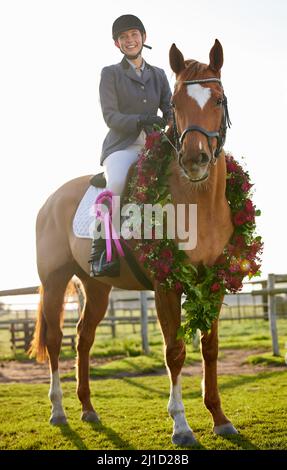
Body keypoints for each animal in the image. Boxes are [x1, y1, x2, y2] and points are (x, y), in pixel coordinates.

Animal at [31, 39, 238, 444]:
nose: (195, 159)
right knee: (55, 340)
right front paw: (181, 425)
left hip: (96, 286)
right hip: (55, 280)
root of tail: (52, 200)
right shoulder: (166, 285)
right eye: (175, 104)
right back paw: (58, 411)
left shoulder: (213, 282)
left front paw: (220, 418)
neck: (198, 203)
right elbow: (174, 351)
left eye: (219, 99)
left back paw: (88, 409)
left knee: (83, 338)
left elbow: (210, 348)